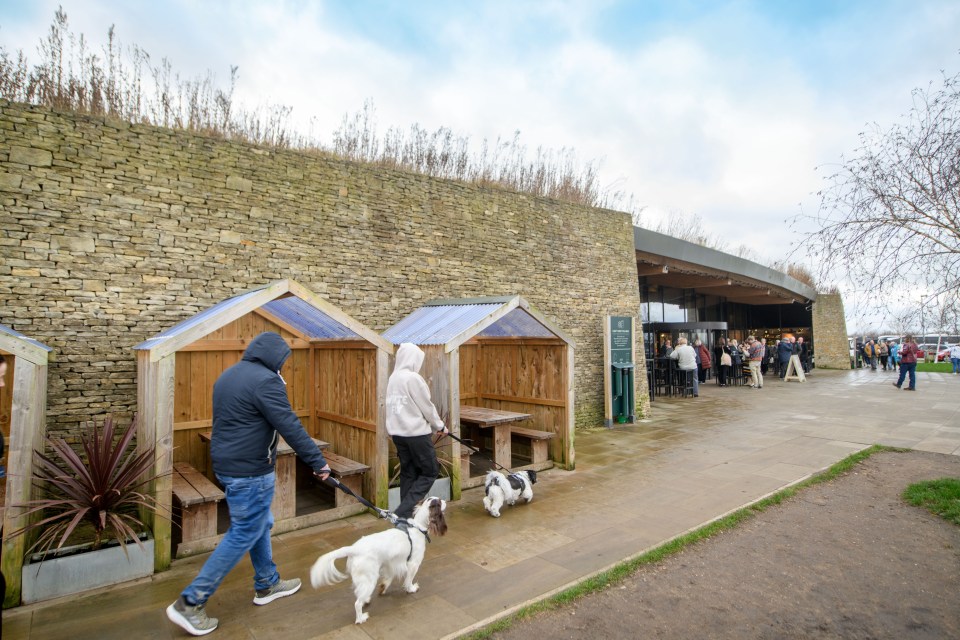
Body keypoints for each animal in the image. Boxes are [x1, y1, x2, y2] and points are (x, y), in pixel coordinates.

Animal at [310, 496, 448, 624]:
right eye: (439, 502)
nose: (445, 500)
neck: (417, 527)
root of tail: (354, 548)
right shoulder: (413, 564)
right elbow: (408, 580)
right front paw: (411, 589)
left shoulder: (391, 563)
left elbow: (388, 578)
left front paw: (384, 587)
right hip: (369, 579)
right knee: (357, 603)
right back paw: (361, 618)